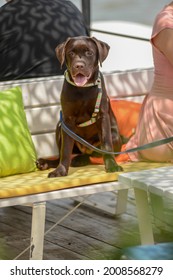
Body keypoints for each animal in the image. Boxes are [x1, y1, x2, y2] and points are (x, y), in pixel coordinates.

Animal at [37, 36, 122, 176]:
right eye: (71, 53)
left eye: (89, 53)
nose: (79, 65)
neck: (83, 89)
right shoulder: (67, 120)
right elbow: (65, 150)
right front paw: (60, 170)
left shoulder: (102, 117)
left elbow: (106, 145)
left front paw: (112, 166)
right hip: (59, 126)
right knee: (63, 155)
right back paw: (46, 163)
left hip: (114, 135)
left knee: (95, 154)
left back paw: (80, 159)